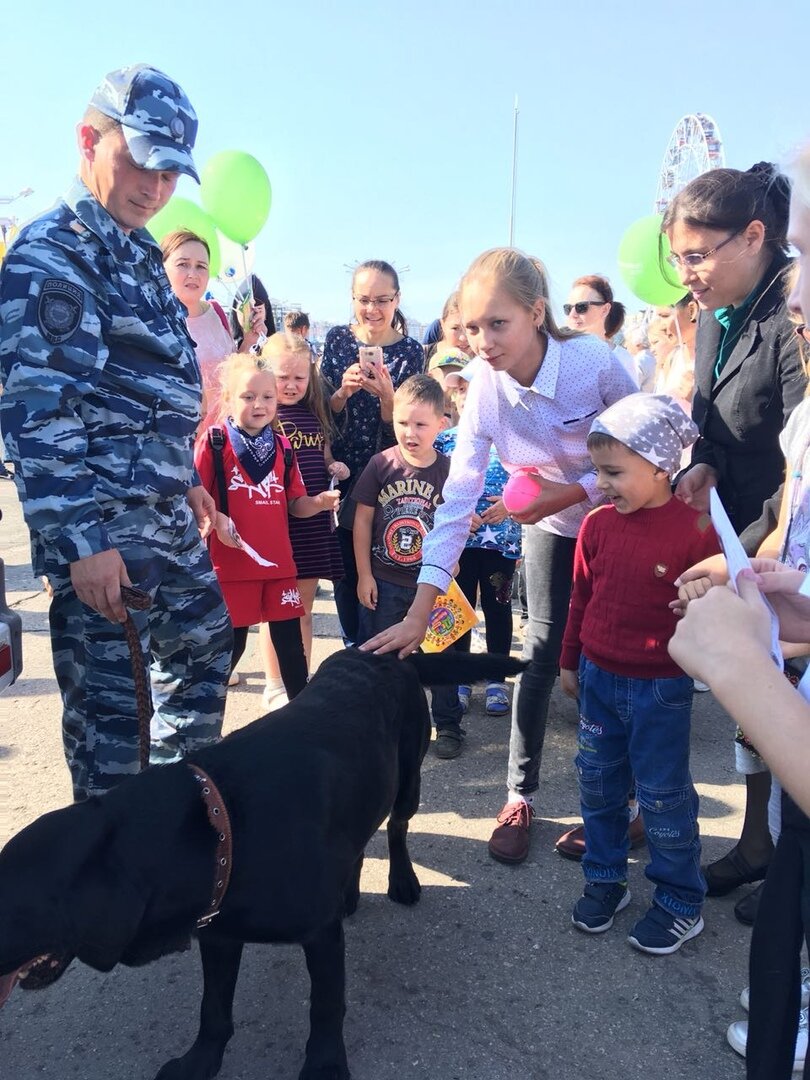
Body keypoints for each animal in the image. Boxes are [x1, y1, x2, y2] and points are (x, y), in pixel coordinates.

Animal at [0, 643, 522, 1075]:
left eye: (16, 906)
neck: (223, 823)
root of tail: (389, 654)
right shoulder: (219, 933)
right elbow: (213, 1008)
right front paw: (201, 1060)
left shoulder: (320, 936)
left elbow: (325, 1008)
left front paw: (324, 1067)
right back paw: (349, 893)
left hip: (408, 778)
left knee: (395, 827)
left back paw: (403, 881)